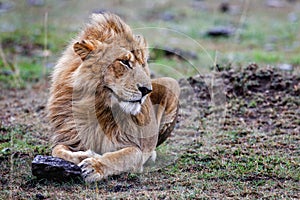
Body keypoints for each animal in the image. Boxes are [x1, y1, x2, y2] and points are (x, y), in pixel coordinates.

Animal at [47, 11, 179, 182]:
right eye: (124, 62)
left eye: (143, 64)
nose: (147, 90)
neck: (98, 106)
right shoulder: (69, 137)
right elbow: (57, 151)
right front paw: (86, 154)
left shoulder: (134, 147)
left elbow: (117, 158)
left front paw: (94, 165)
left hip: (171, 84)